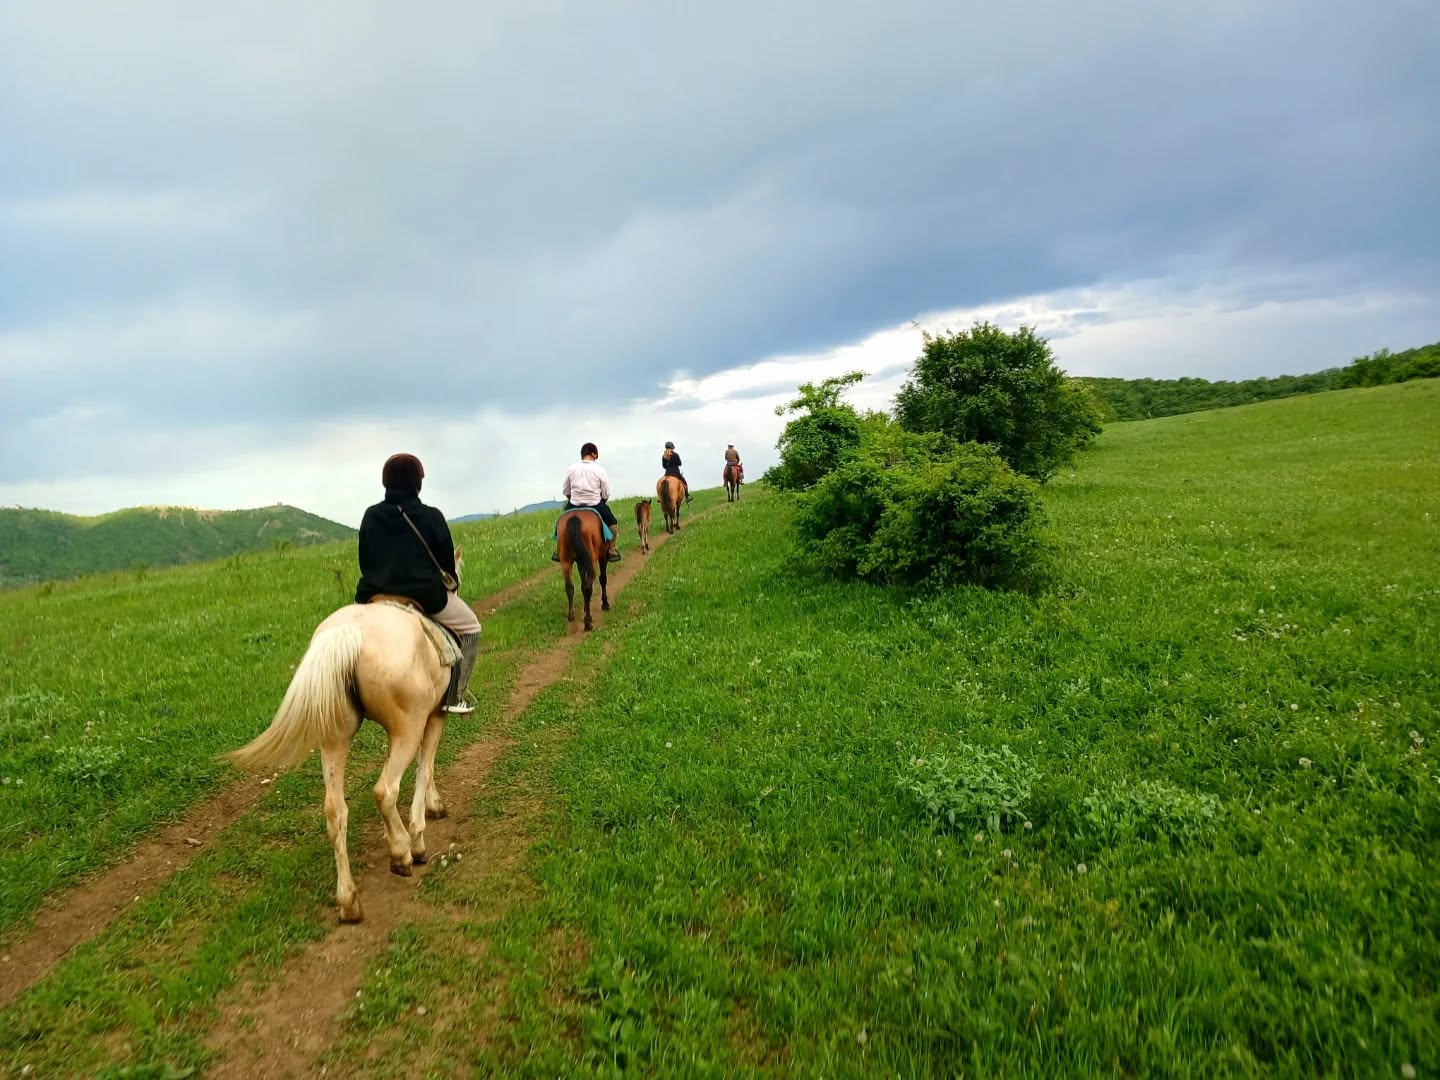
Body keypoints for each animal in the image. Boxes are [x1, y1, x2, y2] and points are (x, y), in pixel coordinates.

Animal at [222, 551, 467, 924]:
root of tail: (348, 633)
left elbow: (424, 768)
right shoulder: (435, 715)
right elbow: (426, 768)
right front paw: (423, 827)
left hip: (335, 736)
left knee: (335, 811)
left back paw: (349, 901)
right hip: (407, 727)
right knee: (385, 790)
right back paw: (402, 853)